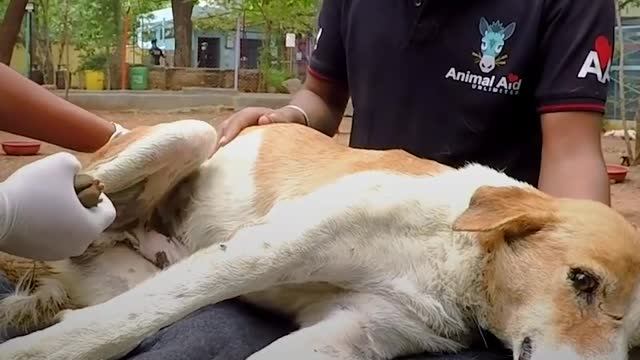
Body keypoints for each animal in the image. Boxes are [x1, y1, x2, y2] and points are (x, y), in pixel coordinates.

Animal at [0, 121, 640, 360]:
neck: (457, 256)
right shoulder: (269, 249)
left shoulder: (355, 332)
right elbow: (118, 326)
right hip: (189, 133)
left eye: (634, 339)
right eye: (582, 279)